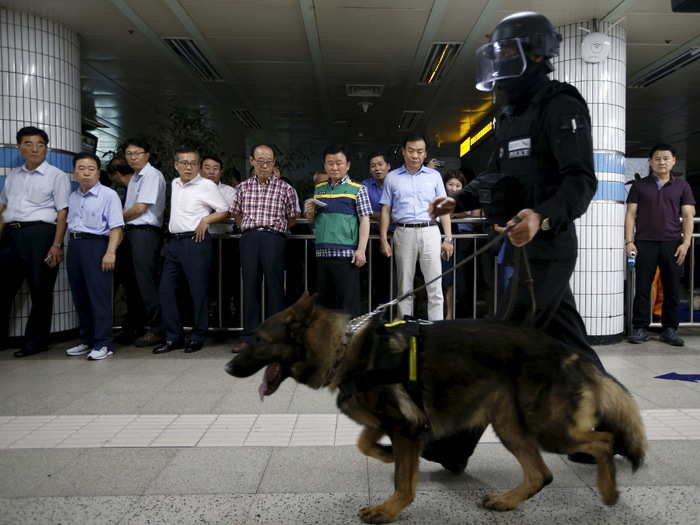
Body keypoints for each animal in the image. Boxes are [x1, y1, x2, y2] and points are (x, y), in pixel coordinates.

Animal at [224, 292, 644, 520]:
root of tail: (573, 354)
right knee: (541, 474)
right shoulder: (398, 424)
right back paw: (507, 500)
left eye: (258, 339)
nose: (228, 368)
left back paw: (608, 490)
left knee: (604, 441)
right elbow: (365, 442)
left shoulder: (408, 427)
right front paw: (385, 453)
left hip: (548, 428)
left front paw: (389, 509)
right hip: (512, 427)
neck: (349, 349)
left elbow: (402, 480)